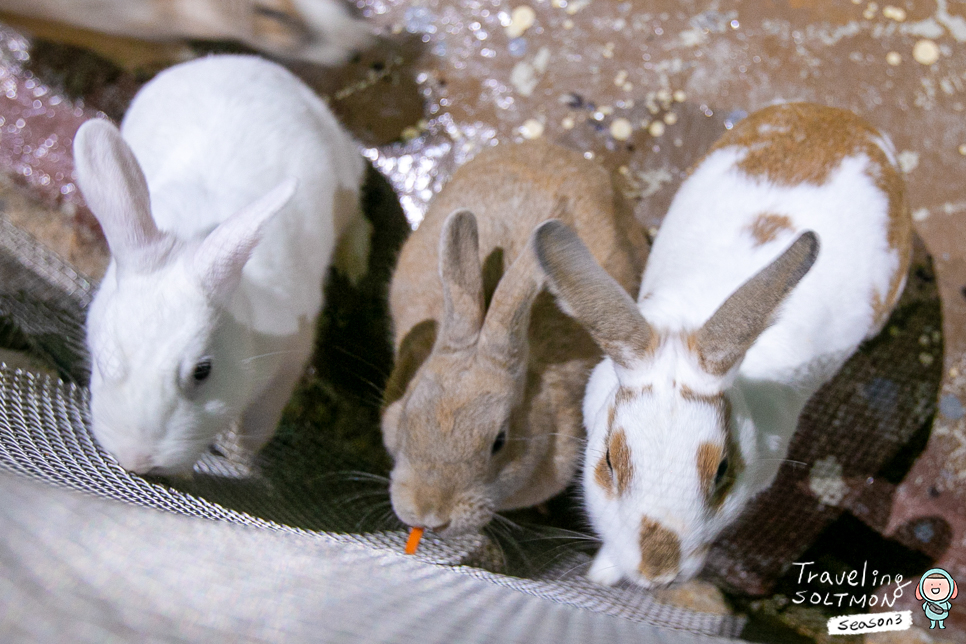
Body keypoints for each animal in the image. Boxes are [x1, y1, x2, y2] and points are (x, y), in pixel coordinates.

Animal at [73, 55, 368, 476]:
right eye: (103, 359)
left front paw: (244, 457)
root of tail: (242, 60)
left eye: (203, 370)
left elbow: (262, 417)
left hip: (346, 177)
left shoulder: (293, 353)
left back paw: (355, 260)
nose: (137, 459)